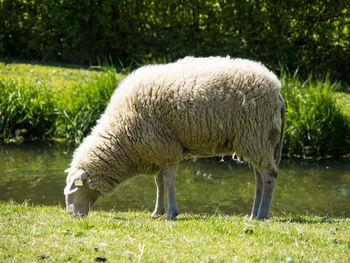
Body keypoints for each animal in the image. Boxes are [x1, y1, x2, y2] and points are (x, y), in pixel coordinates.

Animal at [64, 57, 286, 221]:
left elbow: (168, 180)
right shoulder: (157, 150)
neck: (122, 134)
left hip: (256, 134)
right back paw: (253, 213)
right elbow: (159, 181)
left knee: (269, 175)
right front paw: (157, 211)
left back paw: (262, 214)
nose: (72, 215)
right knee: (259, 177)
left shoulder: (167, 148)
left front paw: (171, 213)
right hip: (254, 140)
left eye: (74, 189)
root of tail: (278, 90)